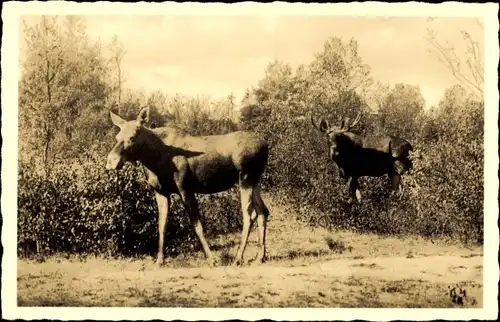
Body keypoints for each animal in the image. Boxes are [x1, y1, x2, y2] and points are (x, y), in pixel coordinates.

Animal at [105, 107, 270, 266]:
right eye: (117, 137)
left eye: (132, 137)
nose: (111, 161)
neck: (153, 159)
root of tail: (266, 145)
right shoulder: (160, 192)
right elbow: (162, 225)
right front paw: (159, 260)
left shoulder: (185, 189)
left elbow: (197, 225)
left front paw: (211, 259)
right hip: (254, 181)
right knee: (263, 211)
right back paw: (259, 257)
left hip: (246, 178)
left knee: (249, 215)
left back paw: (238, 258)